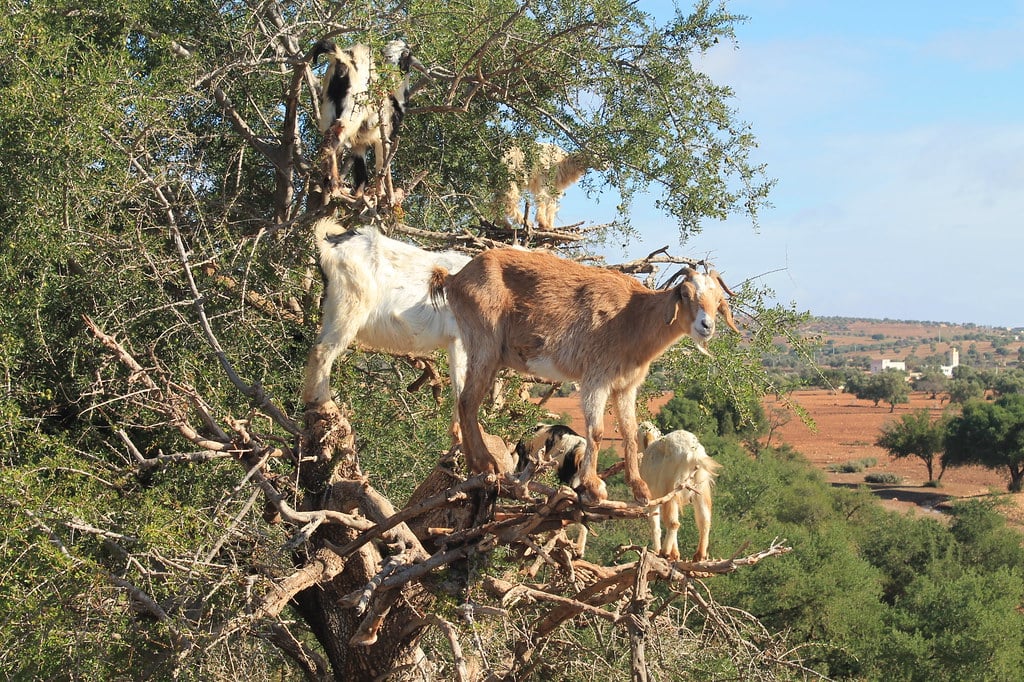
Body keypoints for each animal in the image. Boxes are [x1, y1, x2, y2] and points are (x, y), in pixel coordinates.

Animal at [428, 246, 741, 501]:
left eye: (718, 299)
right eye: (686, 294)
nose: (706, 326)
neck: (634, 318)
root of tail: (454, 278)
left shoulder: (625, 385)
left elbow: (629, 432)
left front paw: (639, 488)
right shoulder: (596, 378)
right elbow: (597, 431)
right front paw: (593, 485)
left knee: (463, 401)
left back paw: (473, 464)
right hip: (484, 344)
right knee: (468, 401)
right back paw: (485, 463)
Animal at [638, 421, 720, 561]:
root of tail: (692, 452)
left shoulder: (652, 497)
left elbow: (655, 526)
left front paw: (663, 552)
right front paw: (674, 554)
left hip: (671, 488)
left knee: (673, 523)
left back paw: (664, 552)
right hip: (700, 489)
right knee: (704, 520)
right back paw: (700, 555)